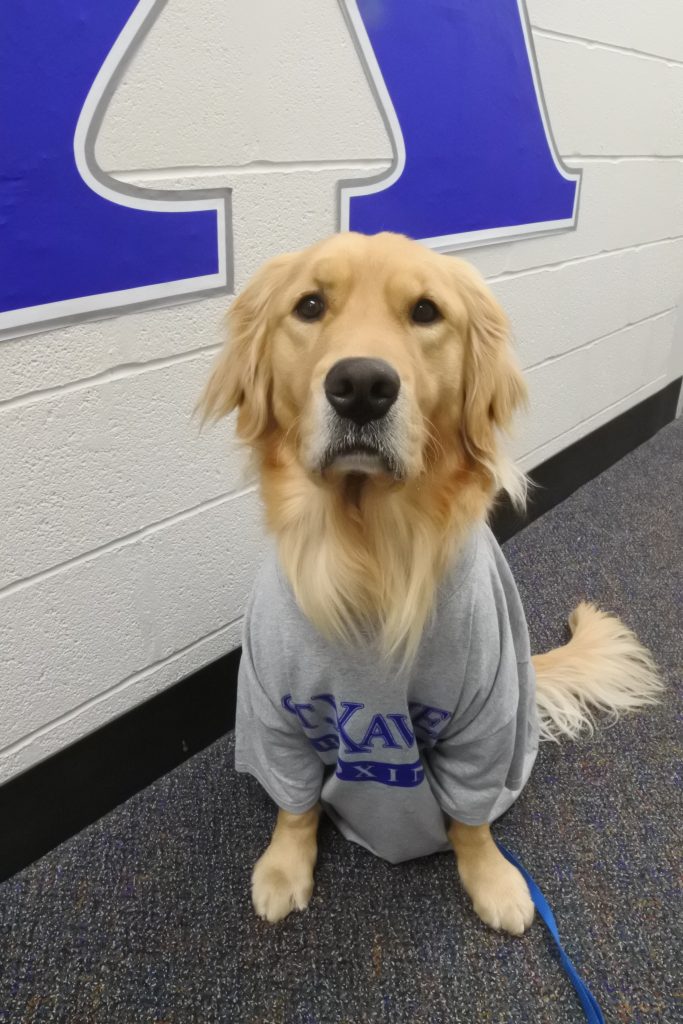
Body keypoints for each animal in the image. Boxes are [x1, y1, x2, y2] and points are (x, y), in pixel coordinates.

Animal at [198, 232, 663, 937]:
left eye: (425, 312)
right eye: (310, 305)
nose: (362, 386)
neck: (371, 558)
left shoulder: (486, 718)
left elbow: (470, 819)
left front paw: (490, 875)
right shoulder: (272, 712)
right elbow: (295, 803)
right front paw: (284, 866)